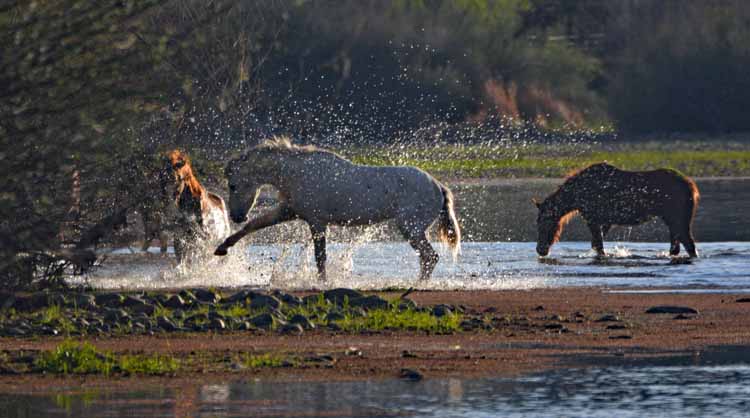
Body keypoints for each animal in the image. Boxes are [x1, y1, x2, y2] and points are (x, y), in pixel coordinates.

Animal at [214, 137, 462, 280]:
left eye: (233, 185)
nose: (237, 216)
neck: (297, 174)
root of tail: (438, 186)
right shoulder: (289, 211)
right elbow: (254, 225)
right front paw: (222, 248)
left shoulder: (317, 222)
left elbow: (320, 257)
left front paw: (322, 282)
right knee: (428, 258)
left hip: (411, 228)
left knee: (430, 257)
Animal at [536, 163, 700, 258]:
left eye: (544, 223)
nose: (540, 249)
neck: (575, 198)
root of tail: (692, 188)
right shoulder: (605, 221)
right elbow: (596, 243)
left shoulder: (593, 218)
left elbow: (598, 244)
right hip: (671, 219)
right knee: (676, 245)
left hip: (678, 218)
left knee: (689, 243)